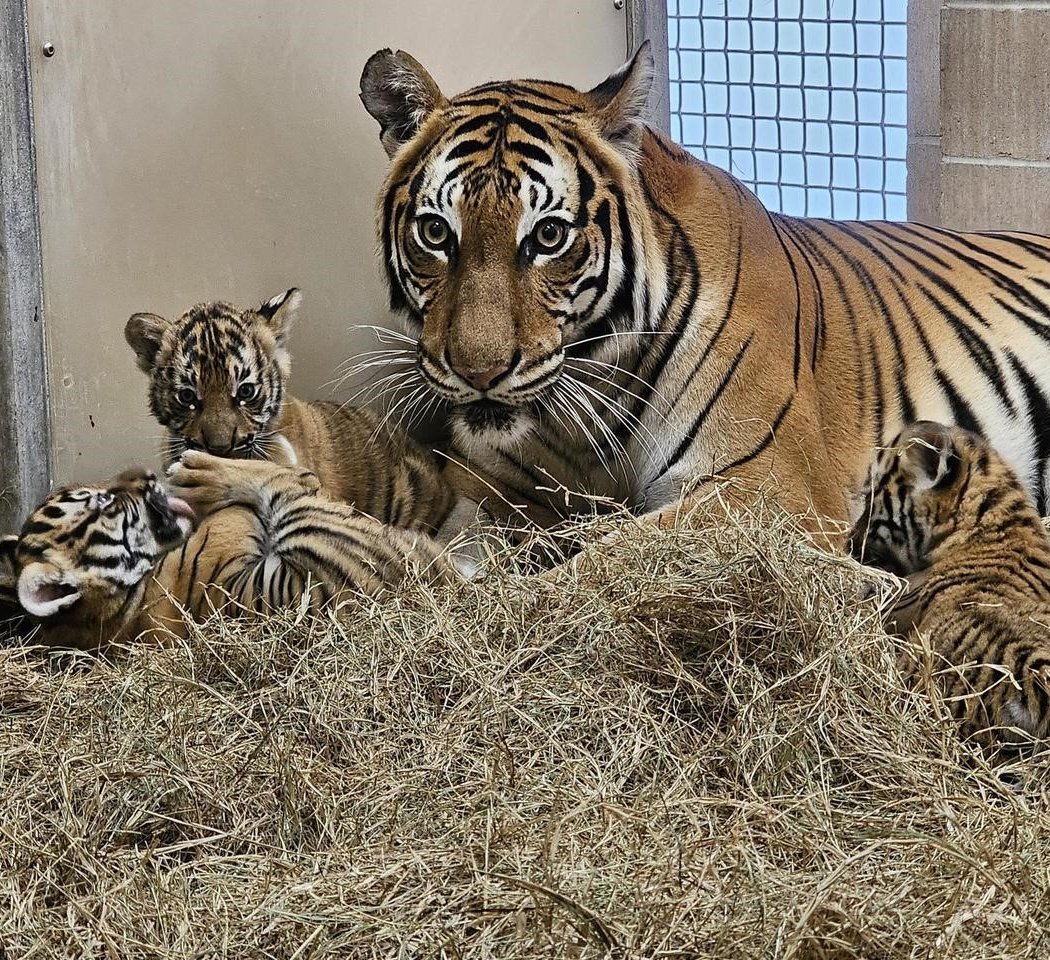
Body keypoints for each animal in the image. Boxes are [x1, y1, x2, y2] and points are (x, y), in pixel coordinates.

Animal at [0, 451, 464, 651]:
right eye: (103, 503)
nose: (145, 474)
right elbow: (262, 495)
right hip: (320, 544)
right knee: (285, 482)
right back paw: (197, 467)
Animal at [357, 42, 1050, 545]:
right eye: (435, 232)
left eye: (549, 235)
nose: (478, 373)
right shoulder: (486, 475)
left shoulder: (764, 489)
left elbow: (610, 555)